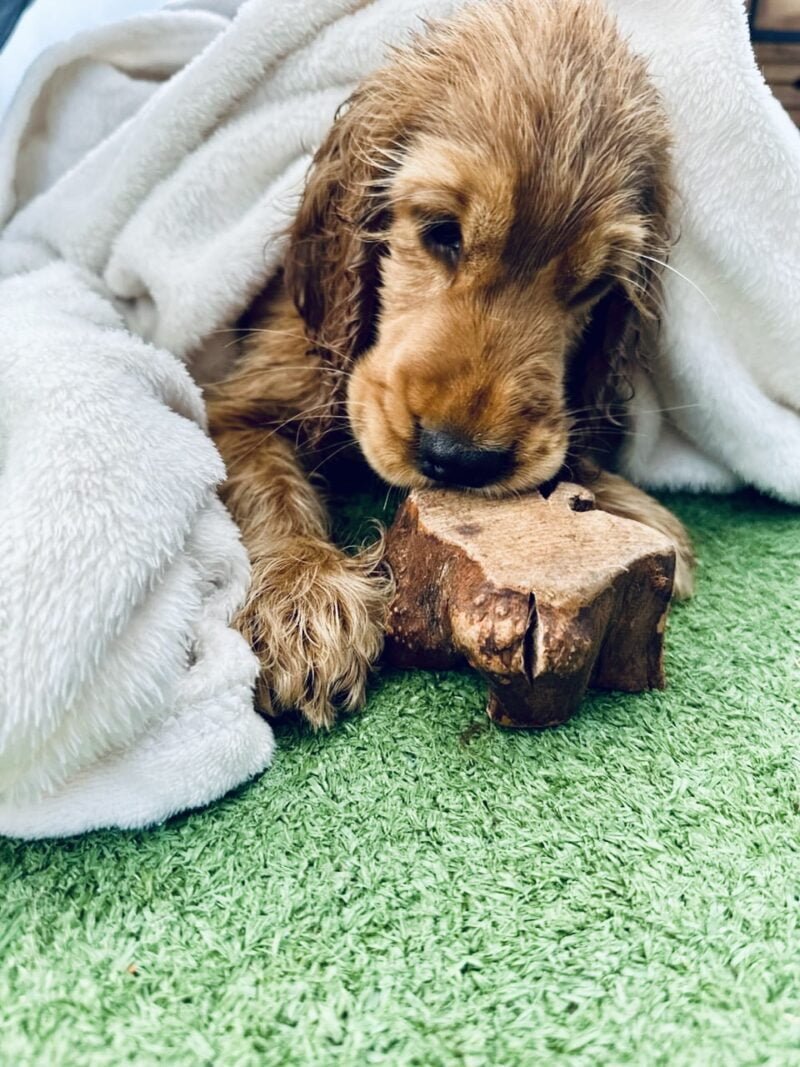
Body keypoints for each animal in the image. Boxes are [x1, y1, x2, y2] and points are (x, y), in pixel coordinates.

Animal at [206, 0, 695, 729]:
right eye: (441, 231)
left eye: (591, 284)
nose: (458, 459)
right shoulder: (244, 398)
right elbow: (266, 483)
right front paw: (303, 597)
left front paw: (626, 505)